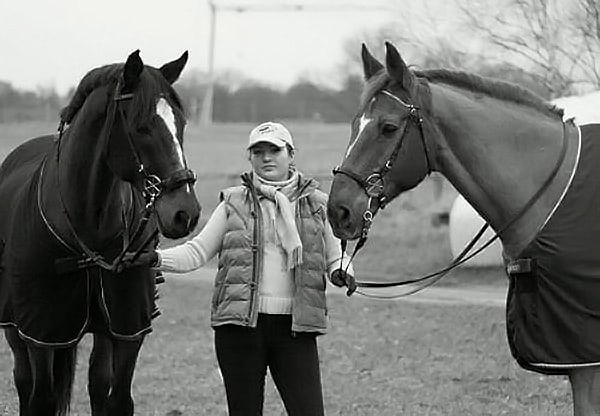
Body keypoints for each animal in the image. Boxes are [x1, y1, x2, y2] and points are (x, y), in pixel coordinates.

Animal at [0, 51, 202, 416]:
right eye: (141, 126)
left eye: (180, 124)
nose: (186, 213)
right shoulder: (42, 331)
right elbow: (41, 397)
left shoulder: (126, 327)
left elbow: (117, 397)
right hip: (15, 326)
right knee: (24, 382)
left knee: (97, 382)